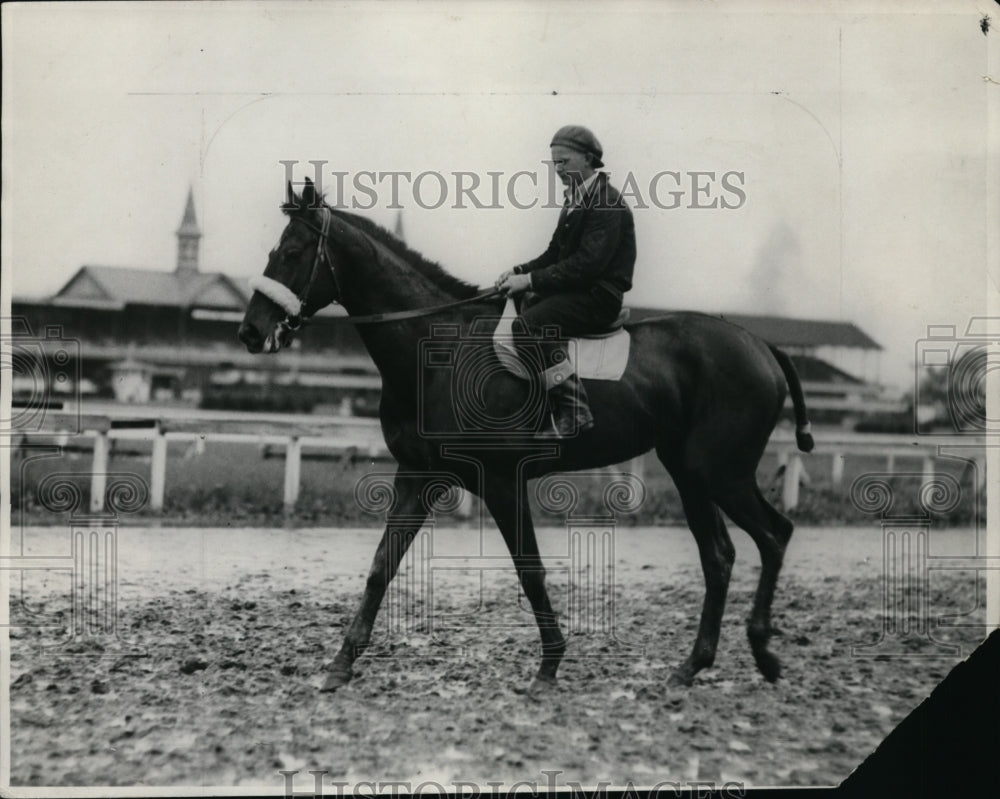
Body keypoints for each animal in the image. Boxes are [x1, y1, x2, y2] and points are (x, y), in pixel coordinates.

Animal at [238, 178, 816, 696]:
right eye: (273, 250)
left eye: (292, 252)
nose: (249, 331)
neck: (438, 352)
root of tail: (761, 345)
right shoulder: (417, 475)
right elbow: (382, 566)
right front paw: (341, 663)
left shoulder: (500, 482)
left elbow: (530, 571)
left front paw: (549, 665)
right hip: (690, 472)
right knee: (719, 555)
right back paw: (693, 666)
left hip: (719, 471)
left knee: (772, 536)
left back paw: (762, 652)